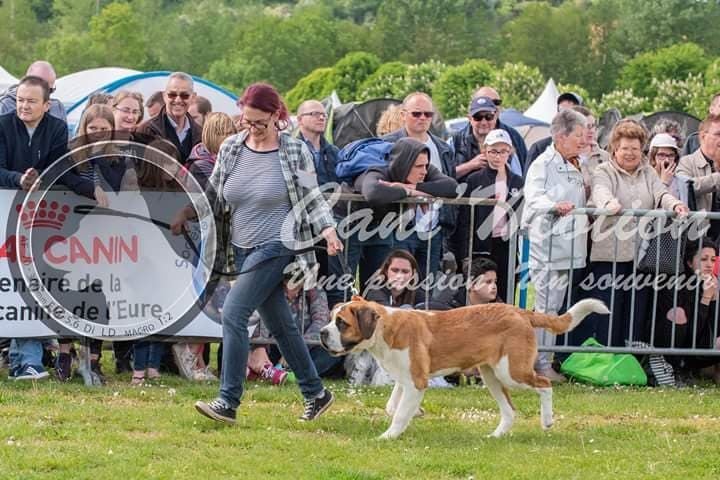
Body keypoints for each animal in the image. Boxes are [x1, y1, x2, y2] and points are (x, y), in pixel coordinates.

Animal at [320, 296, 608, 438]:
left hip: (511, 372)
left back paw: (547, 420)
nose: (322, 333)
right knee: (510, 410)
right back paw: (496, 436)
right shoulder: (406, 380)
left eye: (341, 323)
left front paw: (388, 437)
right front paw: (417, 413)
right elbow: (393, 406)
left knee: (545, 385)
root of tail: (519, 311)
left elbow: (399, 413)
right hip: (492, 376)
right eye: (331, 319)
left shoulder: (416, 381)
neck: (384, 329)